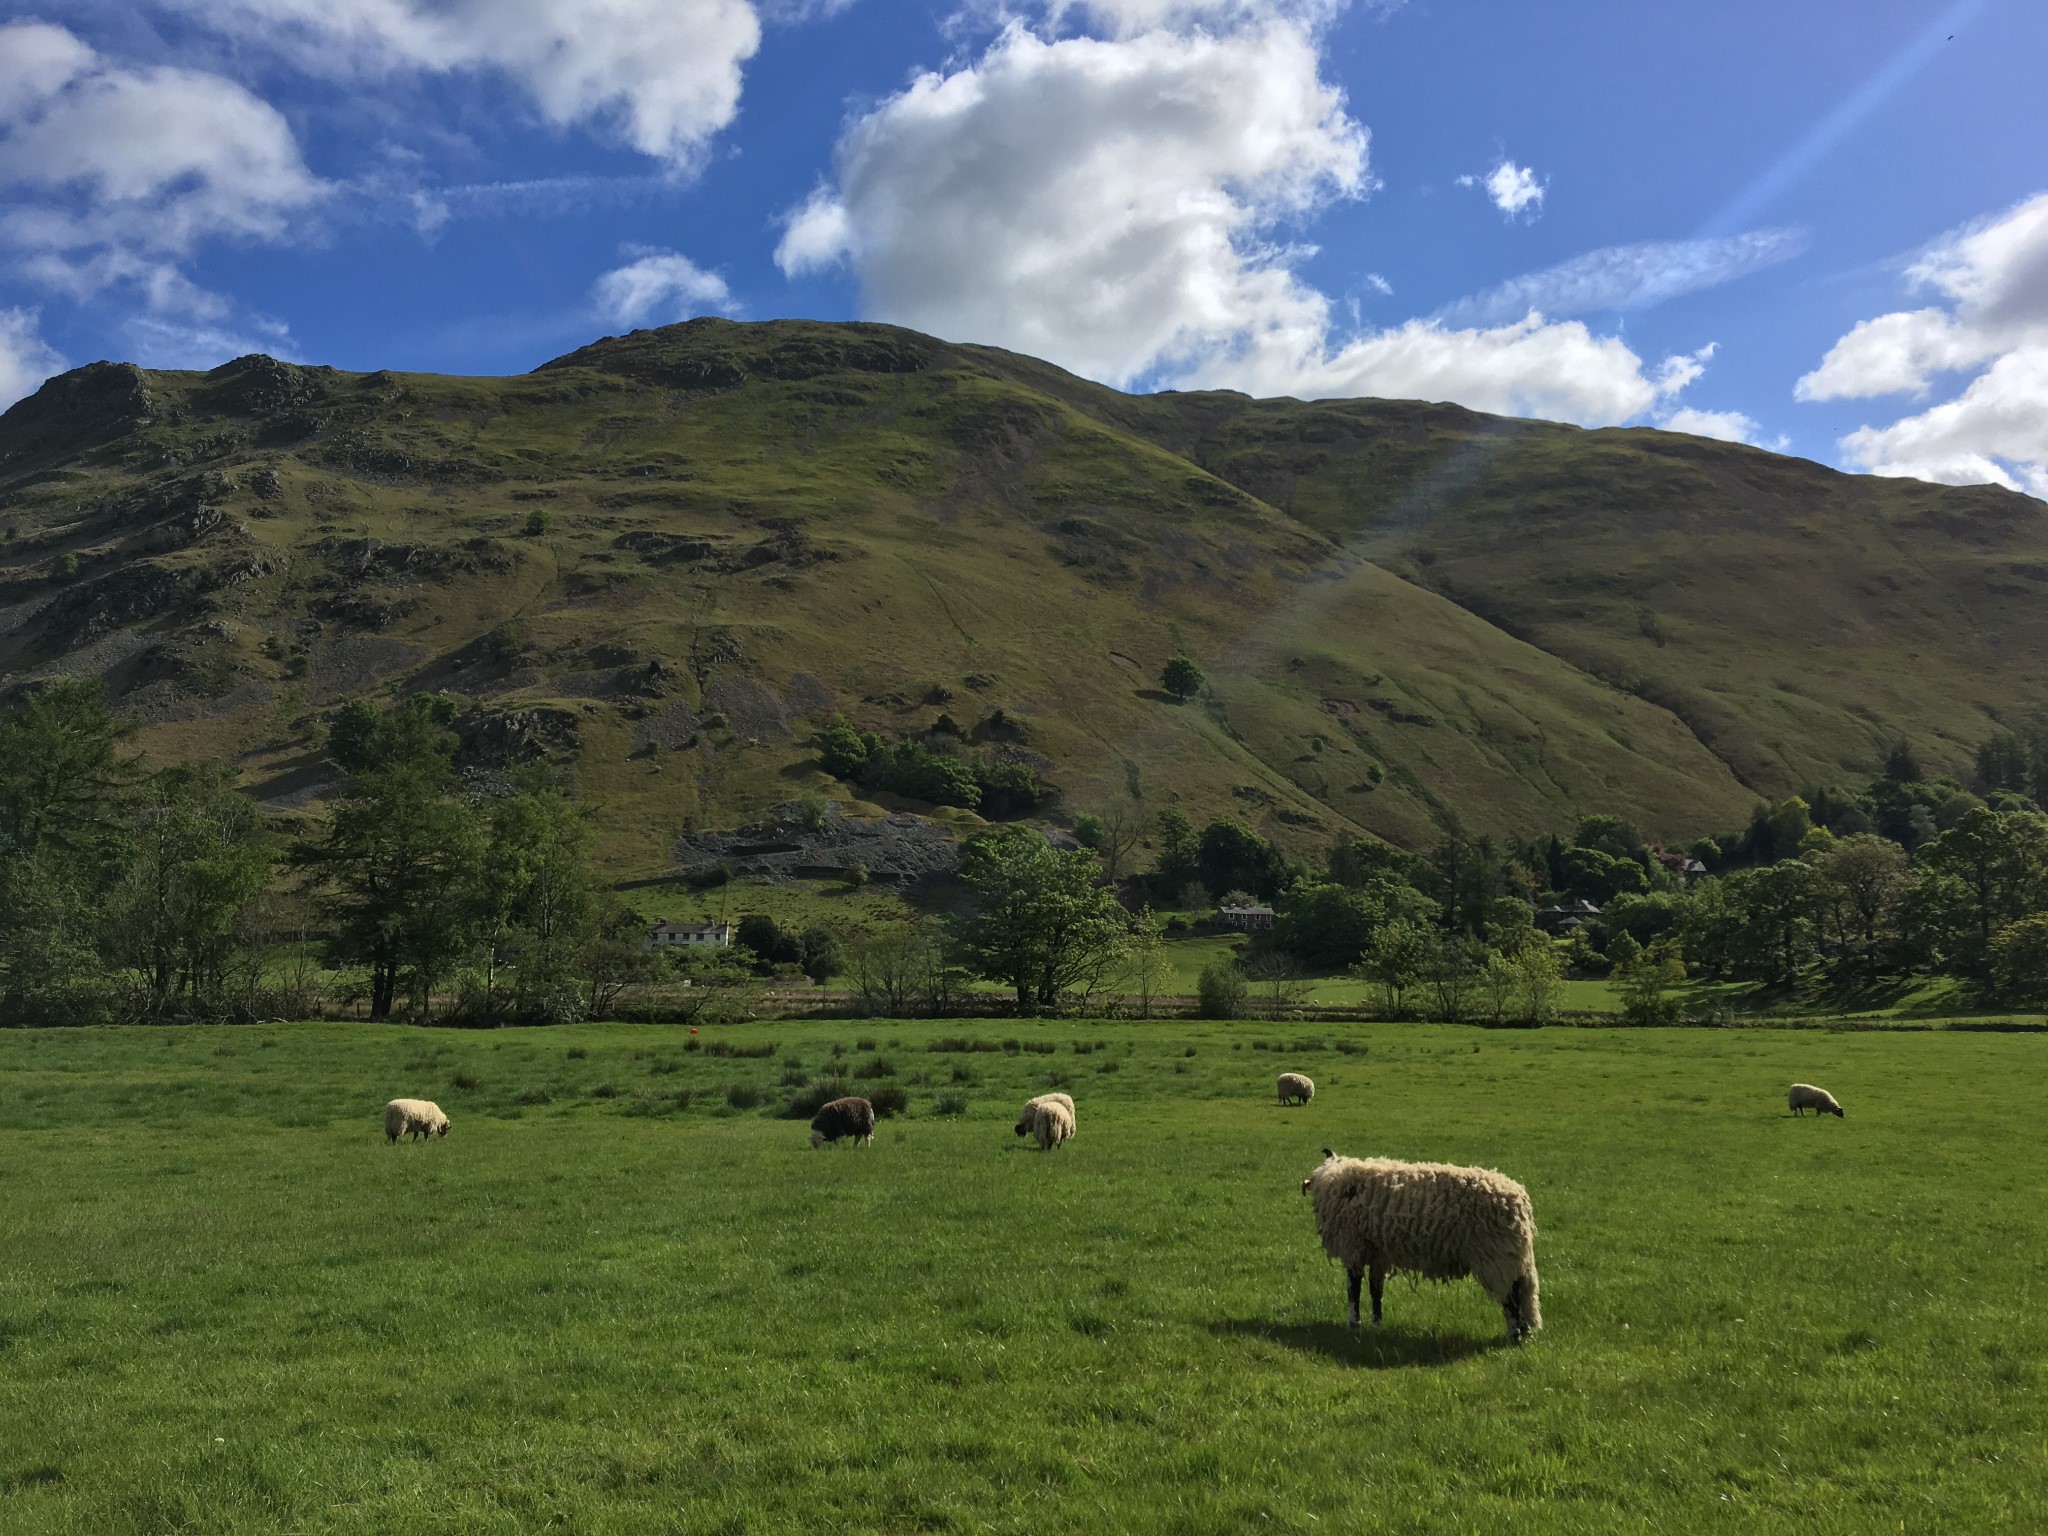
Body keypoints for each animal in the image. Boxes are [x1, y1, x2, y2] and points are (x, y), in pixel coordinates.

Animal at [1310, 1146, 1540, 1343]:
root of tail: (1520, 1202)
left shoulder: (1353, 1247)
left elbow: (1353, 1289)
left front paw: (1354, 1324)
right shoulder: (1378, 1253)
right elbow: (1376, 1289)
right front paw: (1376, 1324)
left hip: (1496, 1257)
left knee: (1511, 1300)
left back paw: (1515, 1337)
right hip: (1514, 1257)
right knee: (1523, 1292)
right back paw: (1526, 1333)